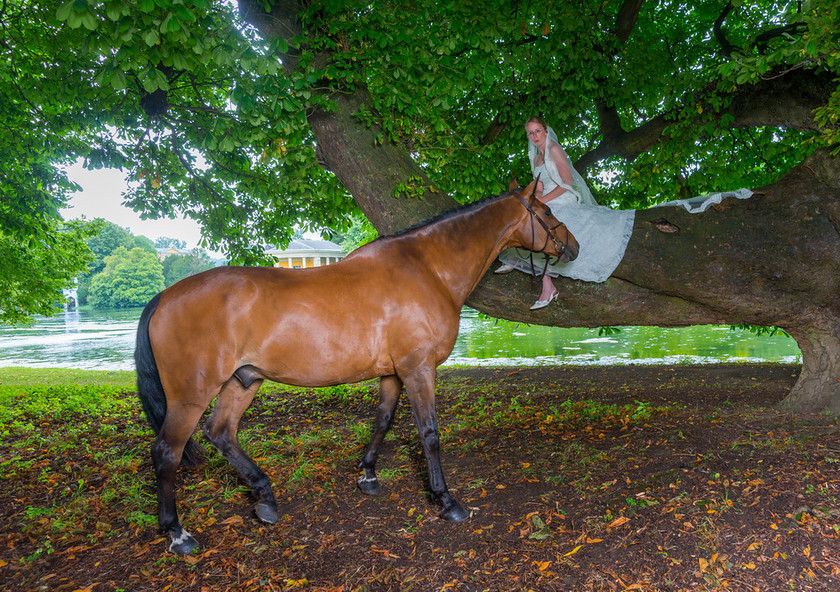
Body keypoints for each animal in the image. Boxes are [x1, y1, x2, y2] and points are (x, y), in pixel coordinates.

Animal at [136, 182, 576, 556]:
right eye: (547, 211)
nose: (572, 246)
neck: (427, 269)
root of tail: (164, 296)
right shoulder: (419, 369)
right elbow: (429, 434)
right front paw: (446, 500)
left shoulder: (393, 373)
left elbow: (383, 420)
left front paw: (368, 475)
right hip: (191, 395)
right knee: (167, 452)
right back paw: (177, 533)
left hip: (243, 381)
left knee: (221, 432)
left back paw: (265, 498)